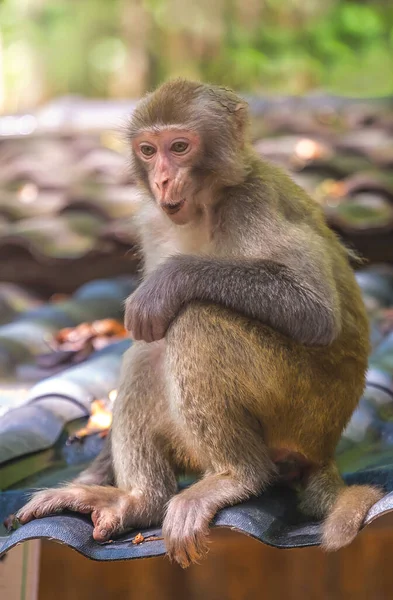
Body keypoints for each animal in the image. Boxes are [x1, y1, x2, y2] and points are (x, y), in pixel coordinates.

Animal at [16, 79, 382, 568]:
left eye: (180, 147)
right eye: (148, 150)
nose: (162, 179)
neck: (208, 206)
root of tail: (325, 449)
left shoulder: (253, 201)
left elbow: (316, 313)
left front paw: (169, 281)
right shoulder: (152, 221)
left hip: (301, 411)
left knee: (195, 319)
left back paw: (237, 476)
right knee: (148, 351)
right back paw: (138, 501)